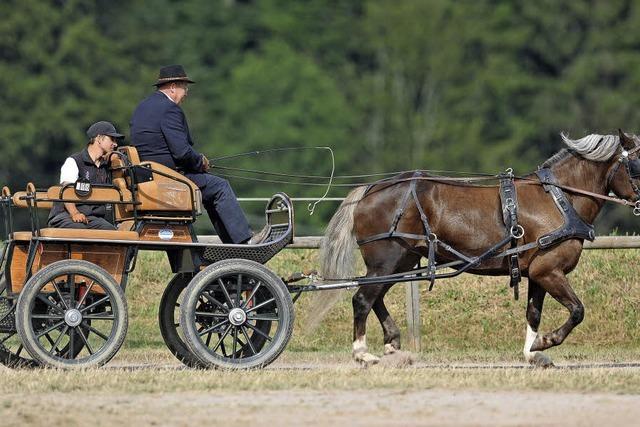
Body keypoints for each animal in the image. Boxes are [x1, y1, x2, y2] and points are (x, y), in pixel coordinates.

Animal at [318, 130, 640, 368]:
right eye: (637, 164)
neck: (560, 199)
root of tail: (371, 189)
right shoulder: (549, 271)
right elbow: (577, 310)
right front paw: (545, 342)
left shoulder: (539, 273)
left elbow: (534, 314)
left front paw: (532, 352)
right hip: (386, 260)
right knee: (363, 298)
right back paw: (362, 353)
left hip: (402, 261)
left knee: (376, 297)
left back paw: (392, 344)